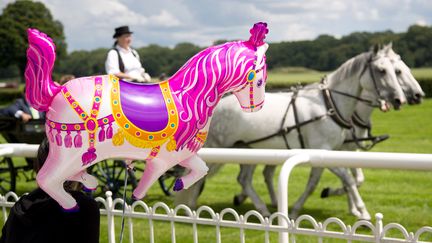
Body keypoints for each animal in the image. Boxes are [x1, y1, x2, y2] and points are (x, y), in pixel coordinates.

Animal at [175, 45, 404, 218]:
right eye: (382, 70)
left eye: (396, 71)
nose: (399, 99)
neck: (328, 105)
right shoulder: (323, 151)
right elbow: (348, 179)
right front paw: (362, 212)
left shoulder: (326, 154)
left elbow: (315, 183)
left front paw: (294, 210)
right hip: (219, 147)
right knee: (197, 175)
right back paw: (188, 206)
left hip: (248, 149)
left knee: (244, 180)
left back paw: (262, 209)